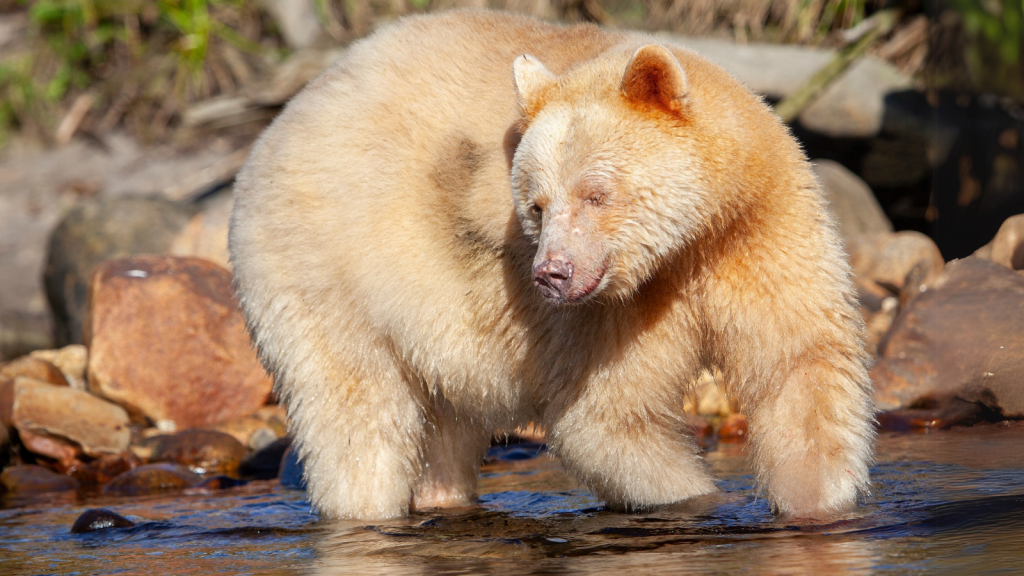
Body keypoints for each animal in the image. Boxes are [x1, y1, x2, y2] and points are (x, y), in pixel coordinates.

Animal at [230, 10, 872, 520]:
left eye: (596, 193)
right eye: (536, 205)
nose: (551, 274)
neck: (688, 244)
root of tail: (273, 131)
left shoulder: (762, 232)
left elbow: (801, 369)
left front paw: (818, 504)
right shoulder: (602, 315)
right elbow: (609, 418)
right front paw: (703, 499)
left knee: (445, 432)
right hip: (323, 279)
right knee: (358, 422)